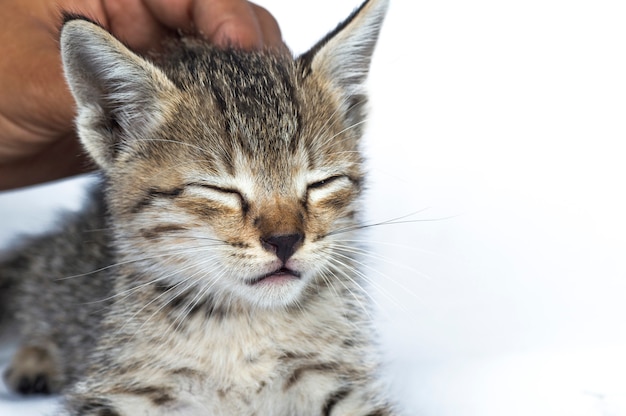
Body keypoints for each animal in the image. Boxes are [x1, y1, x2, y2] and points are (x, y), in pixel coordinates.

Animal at [0, 0, 394, 414]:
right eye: (220, 190)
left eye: (320, 183)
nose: (285, 240)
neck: (243, 324)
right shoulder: (123, 386)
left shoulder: (334, 377)